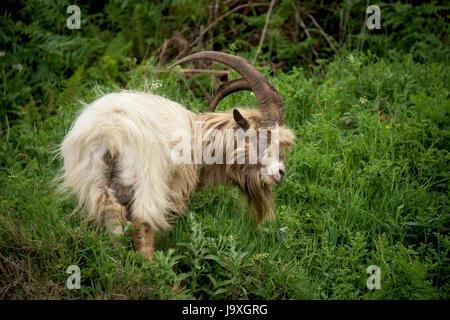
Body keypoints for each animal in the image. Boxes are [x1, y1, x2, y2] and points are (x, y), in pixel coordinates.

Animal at [59, 51, 298, 262]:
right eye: (262, 137)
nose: (281, 173)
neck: (200, 138)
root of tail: (110, 130)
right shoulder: (175, 185)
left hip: (93, 177)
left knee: (110, 210)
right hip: (147, 178)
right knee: (142, 219)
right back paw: (150, 267)